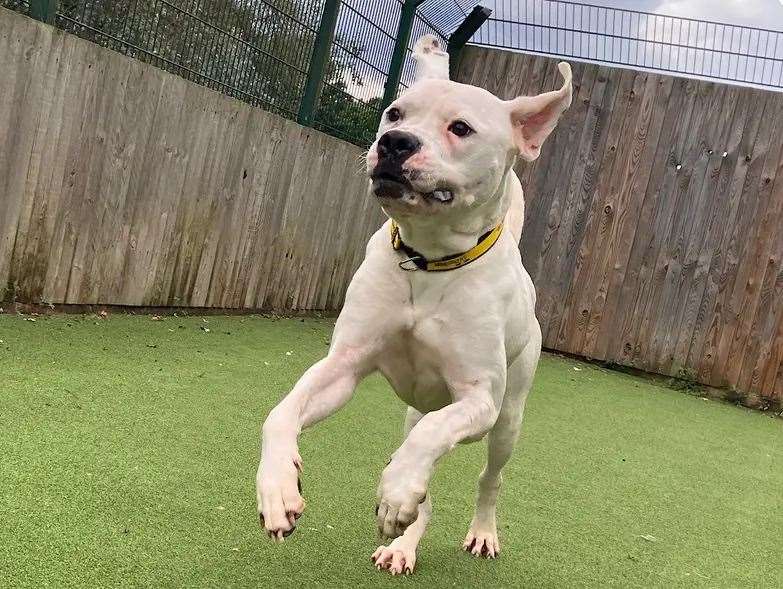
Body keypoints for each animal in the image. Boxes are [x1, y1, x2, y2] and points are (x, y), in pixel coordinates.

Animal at [256, 35, 568, 576]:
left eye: (460, 127)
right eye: (394, 113)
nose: (395, 142)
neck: (428, 263)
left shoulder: (479, 399)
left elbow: (426, 448)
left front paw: (396, 489)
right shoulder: (342, 366)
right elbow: (280, 413)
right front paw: (277, 488)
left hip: (508, 418)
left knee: (487, 476)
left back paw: (479, 529)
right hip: (417, 409)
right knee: (425, 476)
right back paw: (403, 544)